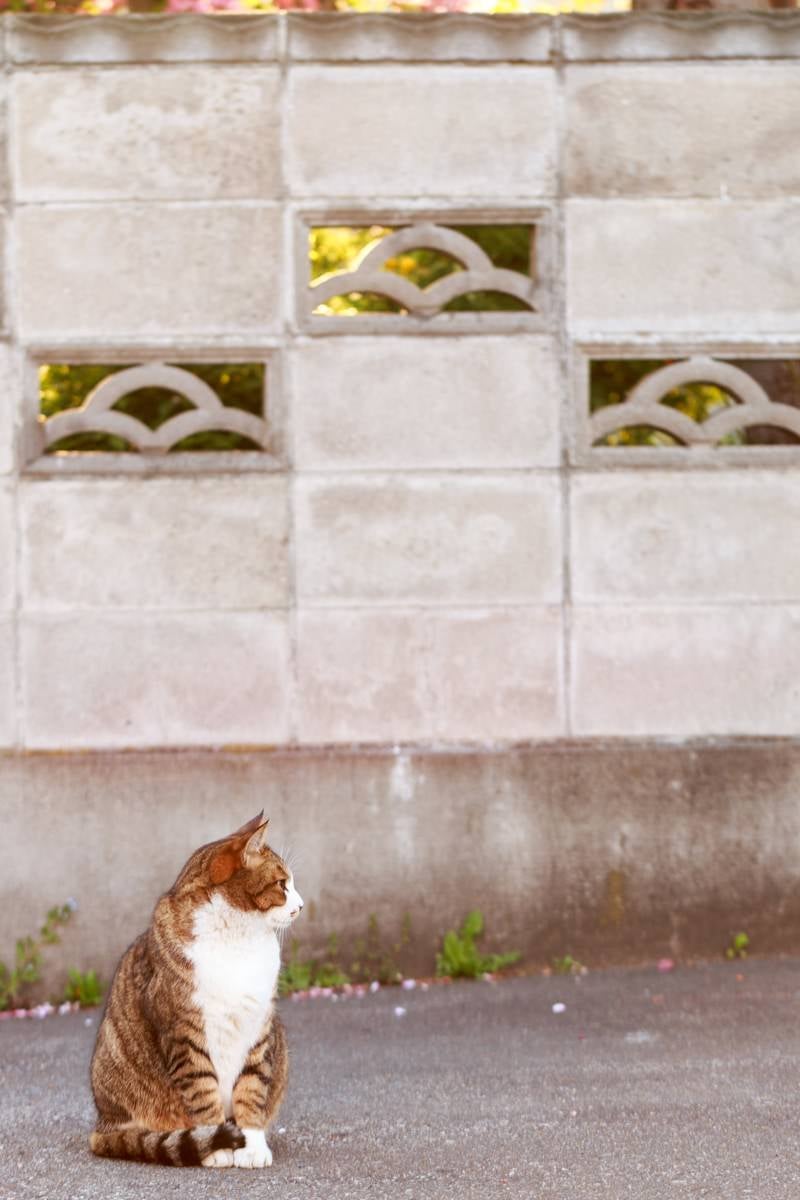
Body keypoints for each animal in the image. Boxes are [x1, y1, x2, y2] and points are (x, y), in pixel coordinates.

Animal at [88, 811, 303, 1166]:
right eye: (281, 884)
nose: (301, 906)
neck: (239, 940)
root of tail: (102, 1124)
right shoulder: (184, 1034)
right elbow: (203, 1092)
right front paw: (216, 1145)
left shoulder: (259, 1028)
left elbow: (251, 1090)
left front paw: (252, 1146)